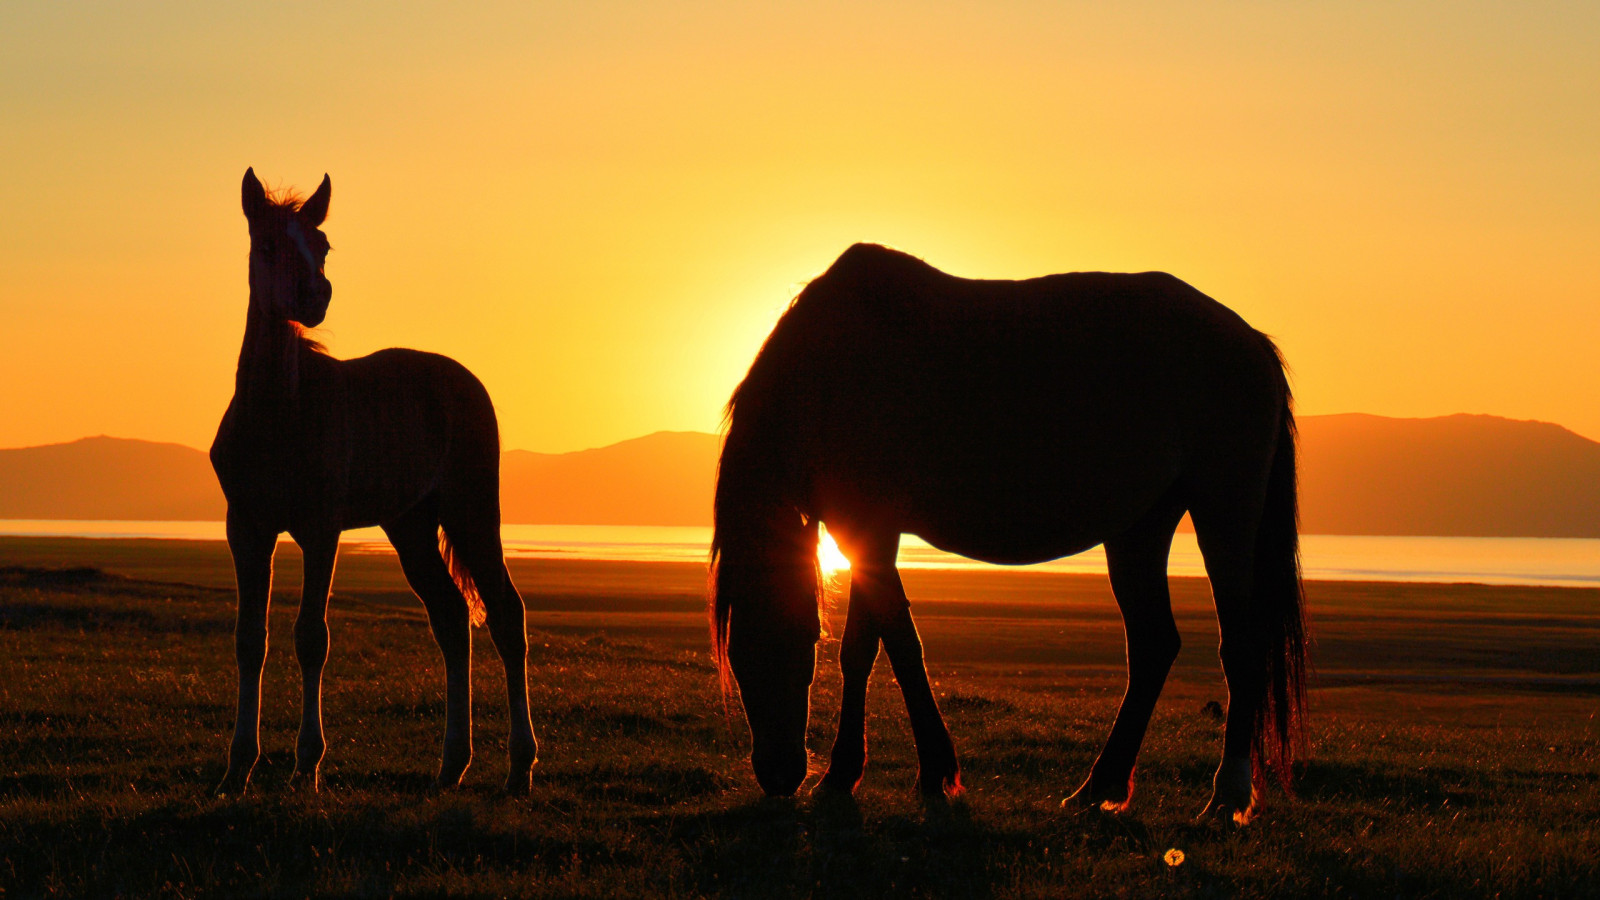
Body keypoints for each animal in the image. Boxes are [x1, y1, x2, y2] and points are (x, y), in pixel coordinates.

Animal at [209, 168, 538, 795]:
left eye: (322, 246)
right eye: (268, 245)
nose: (315, 296)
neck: (278, 413)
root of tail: (464, 379)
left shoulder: (320, 529)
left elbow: (311, 638)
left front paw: (306, 765)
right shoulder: (247, 529)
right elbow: (248, 640)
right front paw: (236, 769)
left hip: (471, 512)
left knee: (506, 614)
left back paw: (519, 768)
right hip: (410, 525)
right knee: (451, 618)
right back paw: (451, 766)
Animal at [710, 243, 1307, 822]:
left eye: (781, 642)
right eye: (738, 656)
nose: (777, 775)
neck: (827, 373)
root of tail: (1251, 343)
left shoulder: (869, 530)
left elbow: (896, 643)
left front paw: (932, 773)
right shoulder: (865, 531)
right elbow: (864, 649)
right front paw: (841, 777)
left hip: (1223, 515)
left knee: (1239, 645)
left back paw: (1228, 795)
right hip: (1140, 528)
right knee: (1153, 645)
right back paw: (1098, 787)